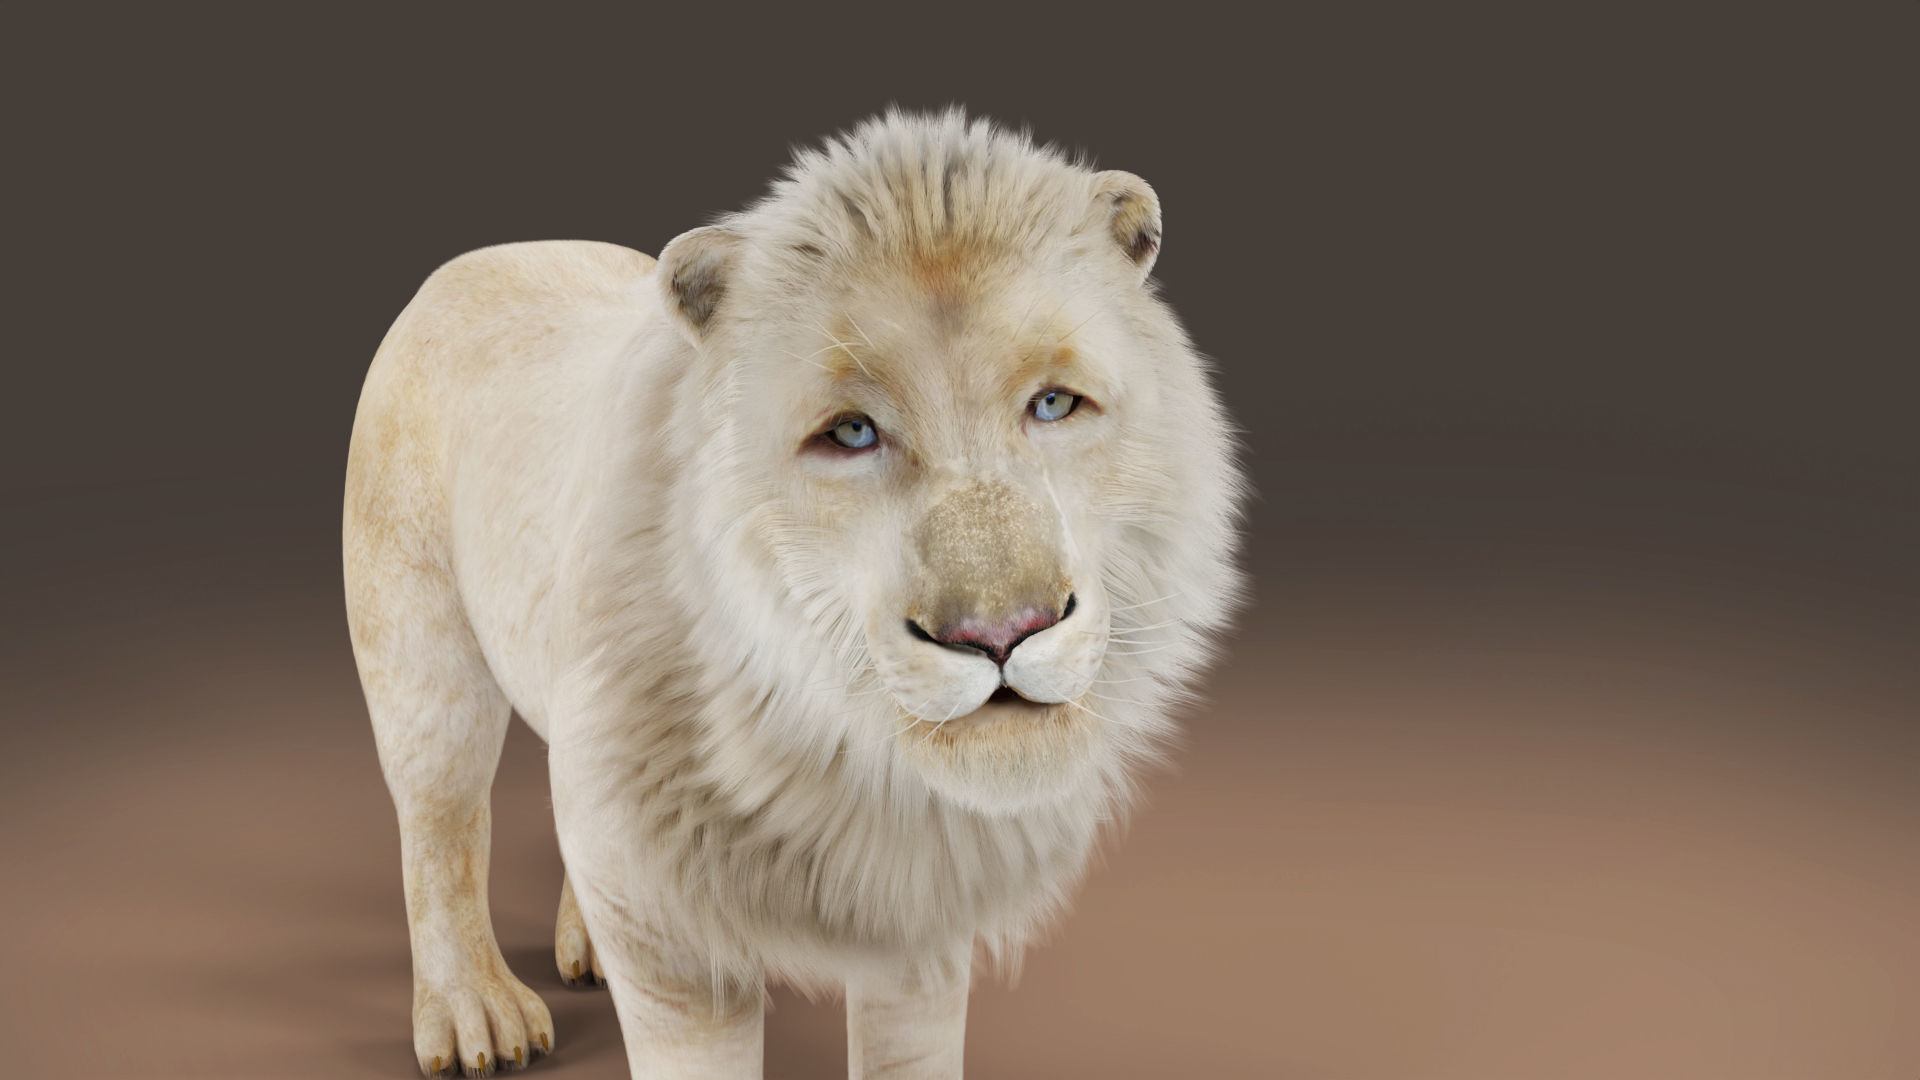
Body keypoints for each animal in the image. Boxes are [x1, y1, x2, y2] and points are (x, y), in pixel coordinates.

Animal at [342, 107, 1248, 1078]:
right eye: (851, 433)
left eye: (1052, 405)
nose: (1004, 633)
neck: (841, 767)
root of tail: (484, 254)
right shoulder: (669, 938)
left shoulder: (921, 925)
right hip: (423, 659)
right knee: (440, 819)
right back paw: (476, 1018)